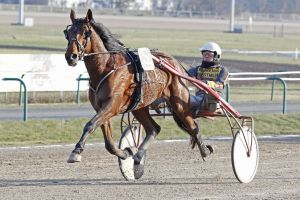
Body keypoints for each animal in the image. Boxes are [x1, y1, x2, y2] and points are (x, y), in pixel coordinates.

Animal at [64, 9, 212, 166]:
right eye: (68, 32)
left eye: (85, 32)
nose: (71, 56)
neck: (105, 68)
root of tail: (175, 63)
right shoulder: (101, 108)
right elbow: (108, 142)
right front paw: (125, 152)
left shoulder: (112, 105)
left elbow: (90, 124)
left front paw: (76, 152)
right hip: (139, 107)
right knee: (154, 129)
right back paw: (139, 155)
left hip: (179, 103)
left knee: (193, 126)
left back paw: (204, 151)